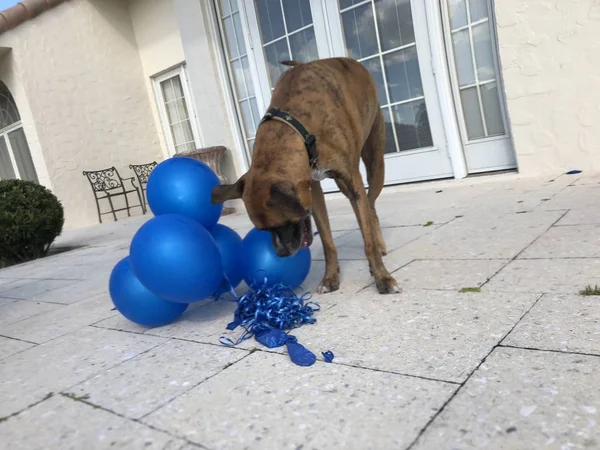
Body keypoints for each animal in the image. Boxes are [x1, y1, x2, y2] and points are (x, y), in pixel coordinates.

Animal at [211, 57, 398, 296]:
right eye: (263, 230)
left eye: (285, 223)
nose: (281, 254)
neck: (299, 128)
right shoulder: (313, 192)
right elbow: (327, 241)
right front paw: (330, 278)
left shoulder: (351, 178)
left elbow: (368, 241)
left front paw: (382, 277)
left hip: (374, 163)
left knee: (370, 206)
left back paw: (380, 243)